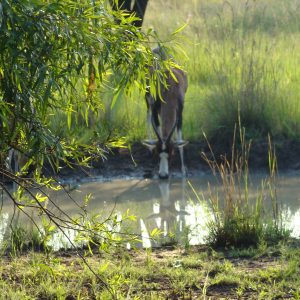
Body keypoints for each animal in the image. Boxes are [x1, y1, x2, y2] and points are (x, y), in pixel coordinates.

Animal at [143, 46, 188, 178]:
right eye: (157, 153)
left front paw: (183, 170)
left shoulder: (180, 113)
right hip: (147, 99)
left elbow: (179, 139)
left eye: (171, 154)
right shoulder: (154, 109)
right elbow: (157, 128)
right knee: (147, 117)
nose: (163, 175)